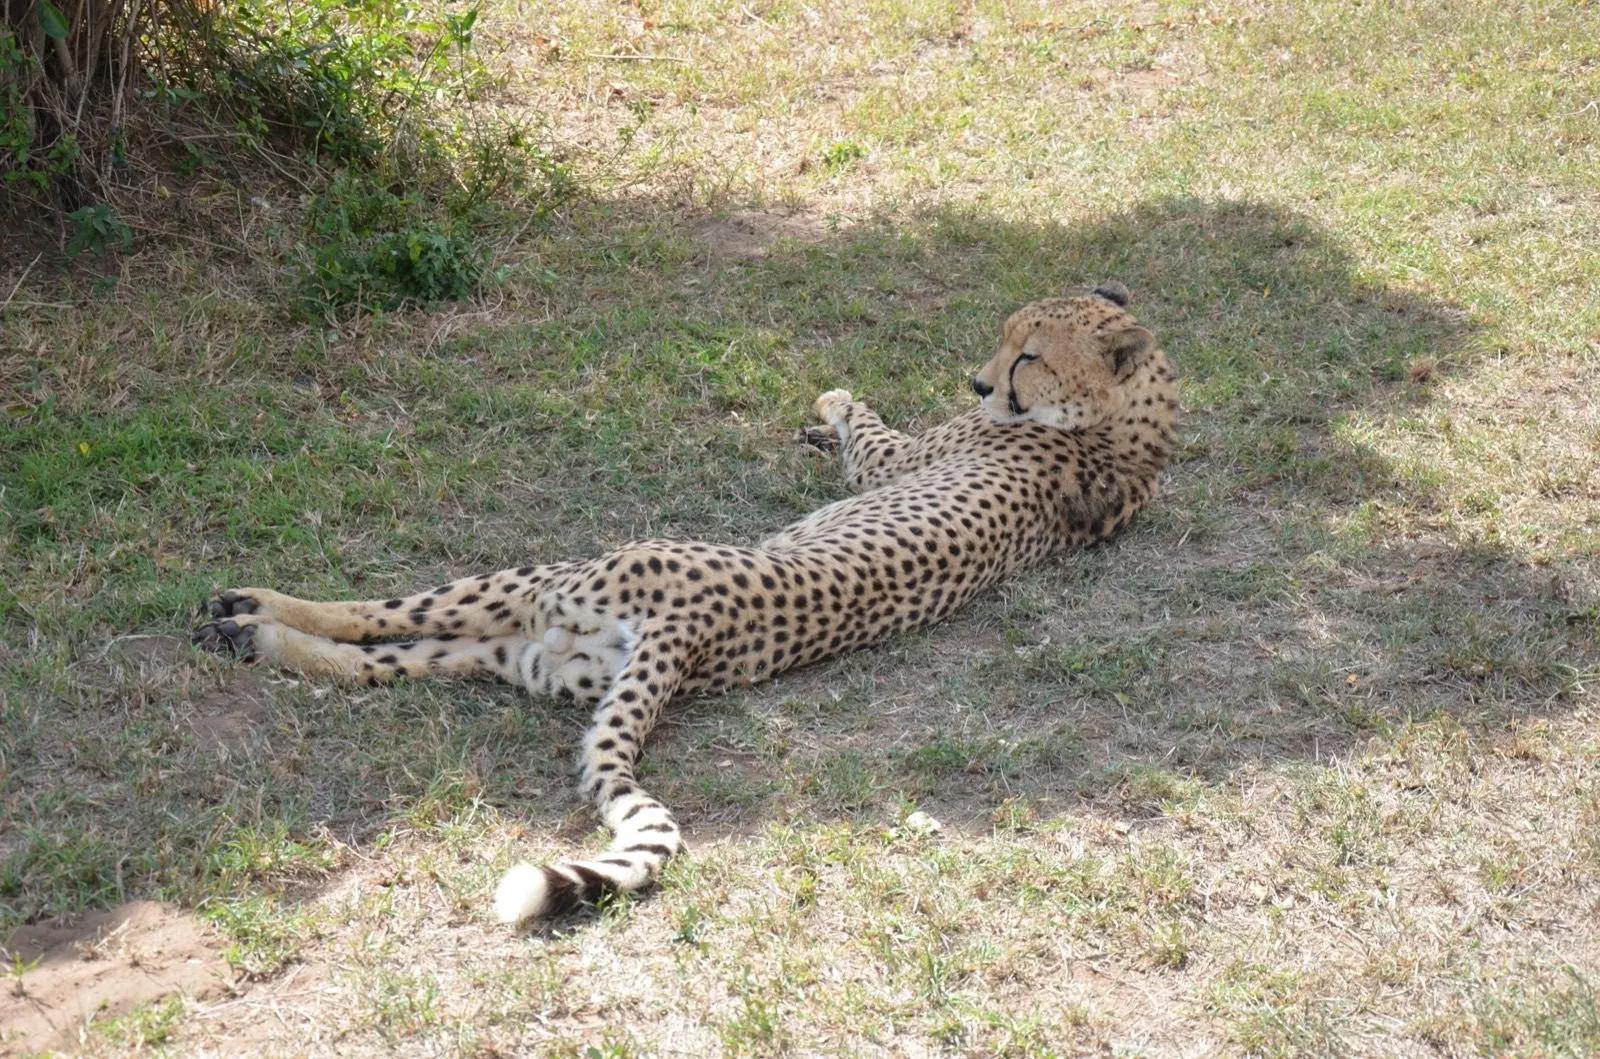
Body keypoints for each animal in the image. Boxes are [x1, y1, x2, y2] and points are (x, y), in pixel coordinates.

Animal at [190, 283, 1179, 923]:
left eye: (1029, 355)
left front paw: (834, 398)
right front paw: (825, 413)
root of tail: (693, 637)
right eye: (1009, 339)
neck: (1130, 434)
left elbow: (867, 428)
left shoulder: (898, 460)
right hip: (530, 653)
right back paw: (251, 634)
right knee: (380, 658)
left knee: (374, 618)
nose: (979, 383)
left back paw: (249, 613)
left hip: (542, 585)